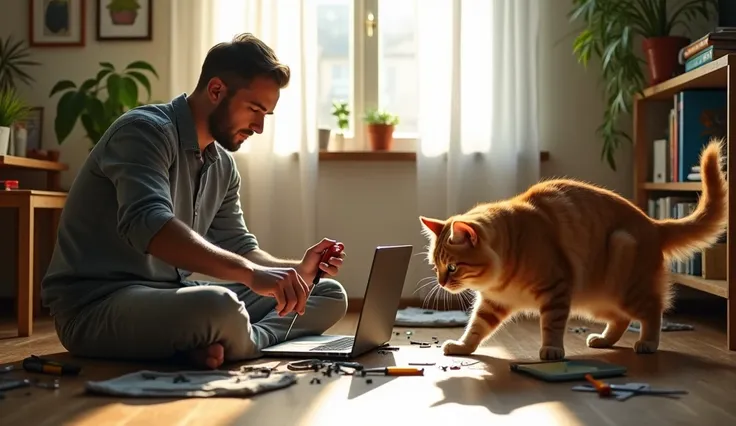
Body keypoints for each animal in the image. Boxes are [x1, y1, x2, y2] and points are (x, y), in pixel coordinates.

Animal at [416, 139, 728, 360]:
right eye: (436, 267)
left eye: (452, 267)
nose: (441, 282)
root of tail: (653, 224)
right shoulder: (493, 303)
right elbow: (475, 329)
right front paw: (462, 346)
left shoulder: (556, 289)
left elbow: (552, 326)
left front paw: (552, 350)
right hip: (597, 301)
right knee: (622, 319)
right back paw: (603, 340)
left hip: (622, 280)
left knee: (652, 311)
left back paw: (647, 342)